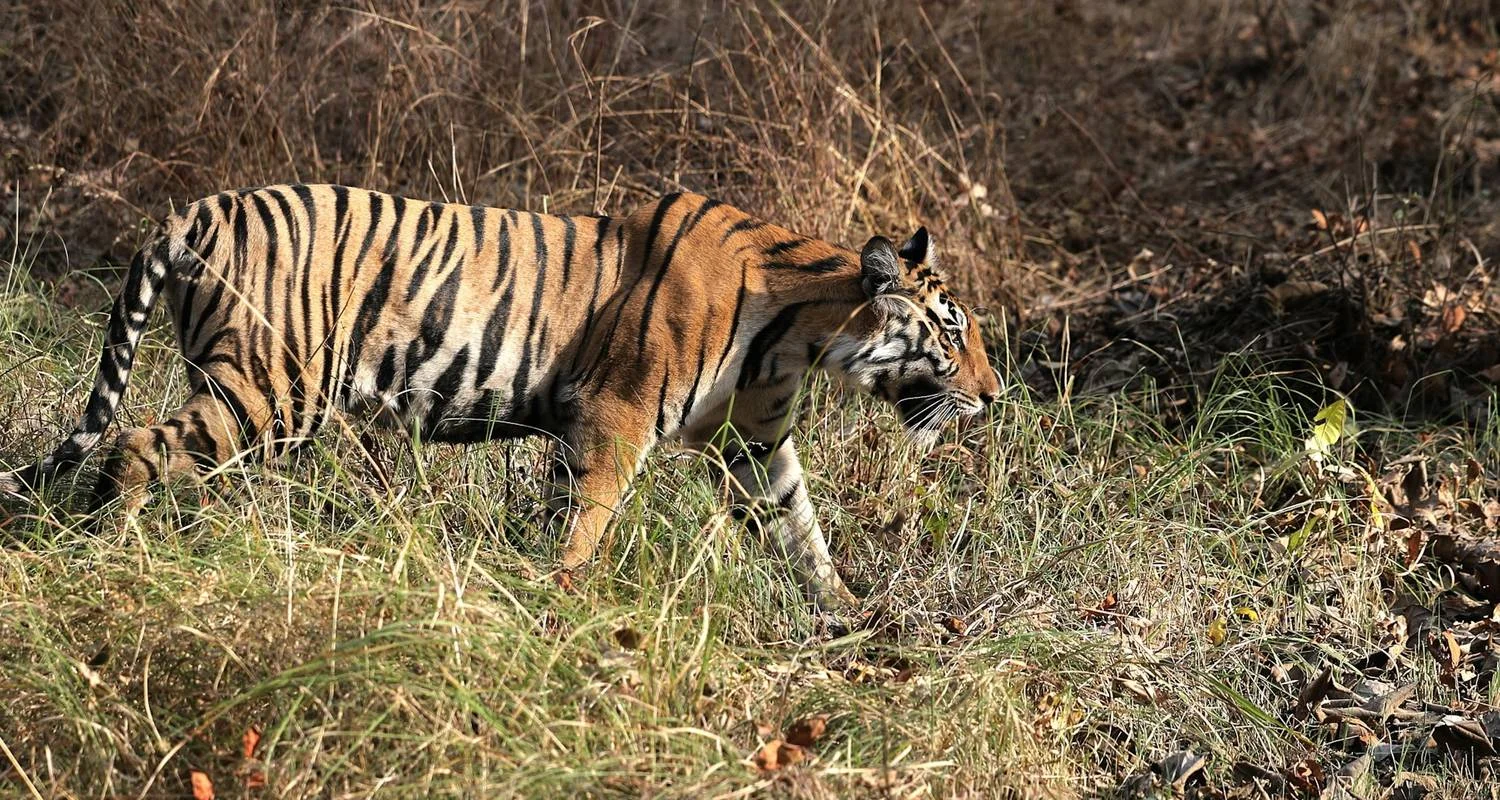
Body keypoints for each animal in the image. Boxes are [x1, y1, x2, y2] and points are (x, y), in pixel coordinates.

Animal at [0, 186, 999, 612]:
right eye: (953, 334)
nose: (994, 398)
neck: (797, 334)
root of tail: (196, 210)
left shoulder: (750, 444)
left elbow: (801, 528)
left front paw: (846, 615)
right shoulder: (614, 415)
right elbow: (587, 521)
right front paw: (561, 606)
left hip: (245, 390)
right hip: (275, 387)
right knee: (134, 446)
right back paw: (118, 552)